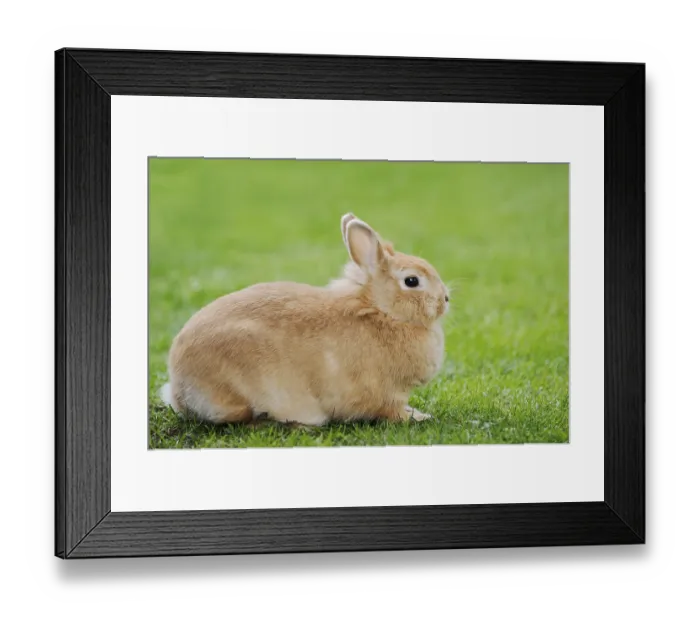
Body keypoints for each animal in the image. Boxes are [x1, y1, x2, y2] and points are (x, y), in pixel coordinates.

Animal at [160, 213, 450, 426]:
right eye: (412, 281)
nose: (445, 299)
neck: (382, 312)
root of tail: (179, 387)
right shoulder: (386, 396)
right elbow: (394, 412)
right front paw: (421, 417)